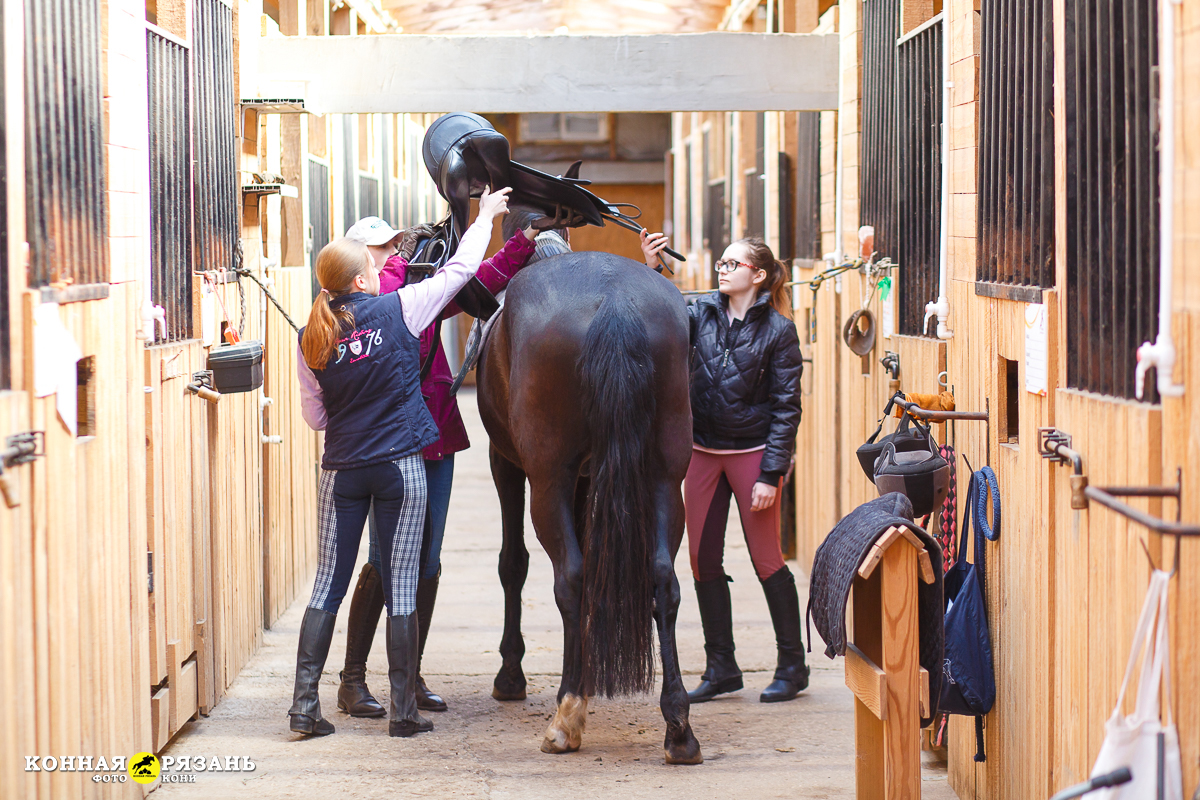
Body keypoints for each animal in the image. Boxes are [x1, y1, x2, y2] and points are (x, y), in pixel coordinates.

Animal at [475, 248, 700, 762]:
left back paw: (566, 715)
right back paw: (678, 727)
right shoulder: (587, 475)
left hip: (548, 478)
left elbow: (512, 563)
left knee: (571, 578)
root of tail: (614, 299)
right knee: (663, 578)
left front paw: (511, 676)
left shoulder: (509, 463)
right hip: (665, 474)